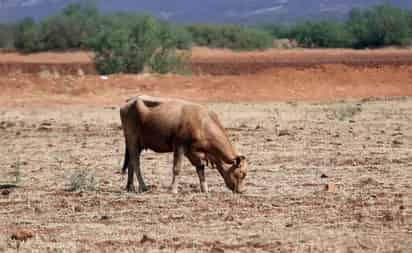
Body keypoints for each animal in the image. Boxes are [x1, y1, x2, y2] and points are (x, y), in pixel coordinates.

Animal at [120, 95, 248, 194]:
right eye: (242, 173)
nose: (241, 191)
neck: (202, 123)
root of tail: (130, 100)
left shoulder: (192, 151)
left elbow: (200, 167)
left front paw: (205, 189)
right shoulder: (179, 146)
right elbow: (177, 168)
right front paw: (173, 190)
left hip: (137, 144)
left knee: (131, 163)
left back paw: (130, 187)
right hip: (132, 140)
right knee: (136, 163)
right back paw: (143, 186)